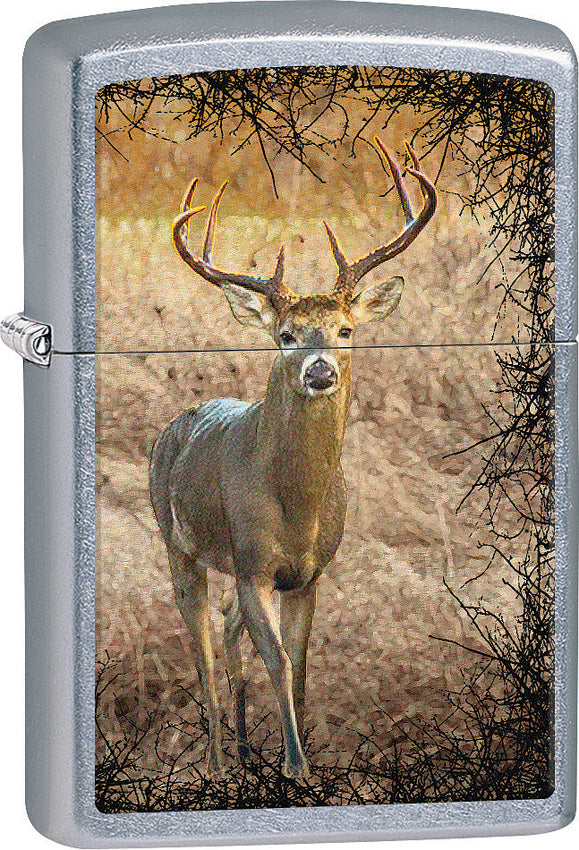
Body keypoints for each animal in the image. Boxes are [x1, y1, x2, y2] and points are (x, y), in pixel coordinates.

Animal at [149, 138, 437, 779]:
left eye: (345, 328)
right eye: (286, 334)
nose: (320, 370)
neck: (297, 507)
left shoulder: (308, 574)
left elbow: (300, 666)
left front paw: (298, 761)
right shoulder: (253, 562)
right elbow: (278, 660)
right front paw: (295, 765)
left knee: (227, 626)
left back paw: (239, 747)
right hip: (178, 543)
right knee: (201, 650)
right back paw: (218, 760)